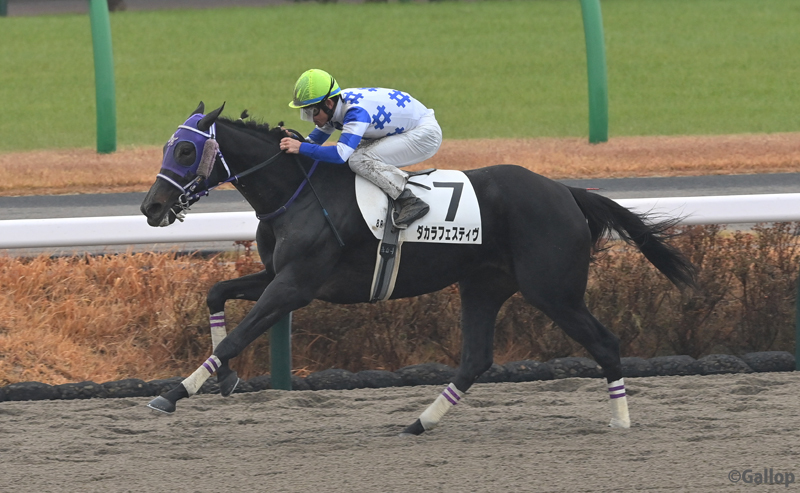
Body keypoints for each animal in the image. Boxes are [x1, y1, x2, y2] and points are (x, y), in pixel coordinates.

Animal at [140, 102, 695, 435]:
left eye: (186, 149)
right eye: (169, 147)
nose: (151, 207)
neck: (297, 191)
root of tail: (565, 192)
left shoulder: (297, 285)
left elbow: (241, 333)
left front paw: (173, 393)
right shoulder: (277, 276)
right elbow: (216, 294)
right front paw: (225, 379)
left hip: (553, 290)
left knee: (605, 342)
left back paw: (621, 421)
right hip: (484, 285)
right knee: (476, 358)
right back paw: (420, 423)